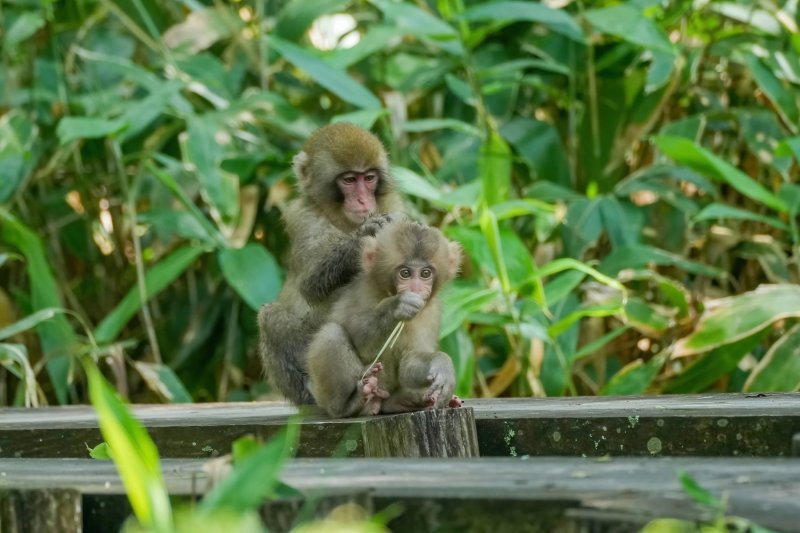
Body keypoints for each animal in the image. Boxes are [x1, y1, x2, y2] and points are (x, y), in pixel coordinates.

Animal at [258, 123, 404, 405]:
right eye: (349, 180)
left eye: (368, 178)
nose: (363, 201)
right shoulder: (302, 217)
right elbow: (310, 285)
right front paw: (363, 238)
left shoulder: (395, 207)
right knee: (270, 317)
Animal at [307, 219, 462, 418]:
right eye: (405, 273)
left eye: (425, 273)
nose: (415, 289)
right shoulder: (362, 292)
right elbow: (362, 345)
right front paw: (398, 306)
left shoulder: (430, 312)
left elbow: (409, 361)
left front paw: (441, 365)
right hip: (323, 395)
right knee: (331, 334)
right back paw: (350, 404)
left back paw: (408, 402)